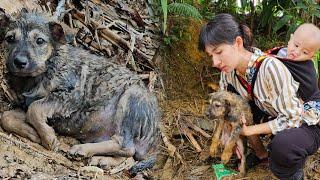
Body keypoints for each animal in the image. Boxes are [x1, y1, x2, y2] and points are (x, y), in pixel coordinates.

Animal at [0, 9, 159, 164]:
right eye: (10, 38)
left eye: (39, 41)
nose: (19, 62)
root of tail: (152, 137)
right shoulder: (27, 103)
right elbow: (7, 116)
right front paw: (32, 133)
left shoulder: (71, 96)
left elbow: (35, 109)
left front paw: (48, 137)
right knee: (125, 154)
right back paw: (102, 160)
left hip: (131, 99)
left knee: (125, 146)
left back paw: (82, 149)